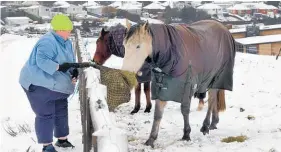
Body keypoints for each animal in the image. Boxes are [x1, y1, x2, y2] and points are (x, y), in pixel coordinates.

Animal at [121, 19, 235, 147]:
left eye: (138, 46)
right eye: (124, 45)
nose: (125, 73)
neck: (171, 53)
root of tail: (224, 28)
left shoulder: (187, 86)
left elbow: (184, 110)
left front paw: (186, 134)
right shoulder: (162, 87)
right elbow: (157, 114)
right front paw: (151, 139)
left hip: (216, 77)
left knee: (211, 101)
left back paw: (205, 126)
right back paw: (213, 123)